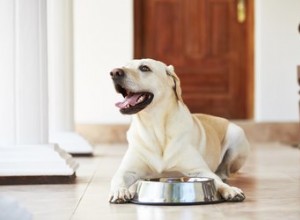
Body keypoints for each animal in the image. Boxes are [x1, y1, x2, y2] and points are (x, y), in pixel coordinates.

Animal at [109, 58, 250, 203]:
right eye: (124, 66)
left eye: (144, 68)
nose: (114, 72)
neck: (155, 127)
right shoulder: (127, 170)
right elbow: (117, 179)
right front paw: (120, 191)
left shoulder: (200, 170)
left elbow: (216, 181)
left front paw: (230, 189)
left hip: (237, 136)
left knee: (224, 172)